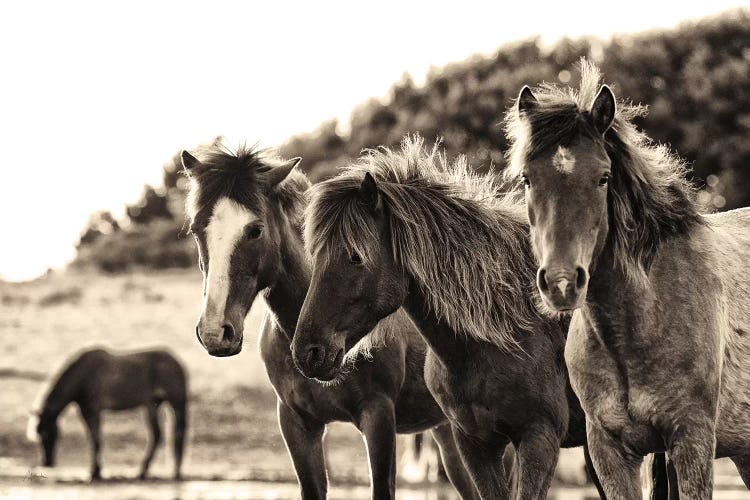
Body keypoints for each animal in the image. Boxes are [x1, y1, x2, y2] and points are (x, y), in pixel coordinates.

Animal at [26, 348, 188, 480]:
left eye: (49, 434)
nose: (47, 463)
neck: (83, 375)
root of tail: (176, 362)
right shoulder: (86, 412)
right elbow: (94, 439)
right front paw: (96, 471)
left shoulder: (92, 411)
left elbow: (96, 439)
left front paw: (95, 472)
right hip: (152, 406)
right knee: (157, 435)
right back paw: (144, 472)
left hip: (176, 404)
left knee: (178, 433)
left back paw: (172, 472)